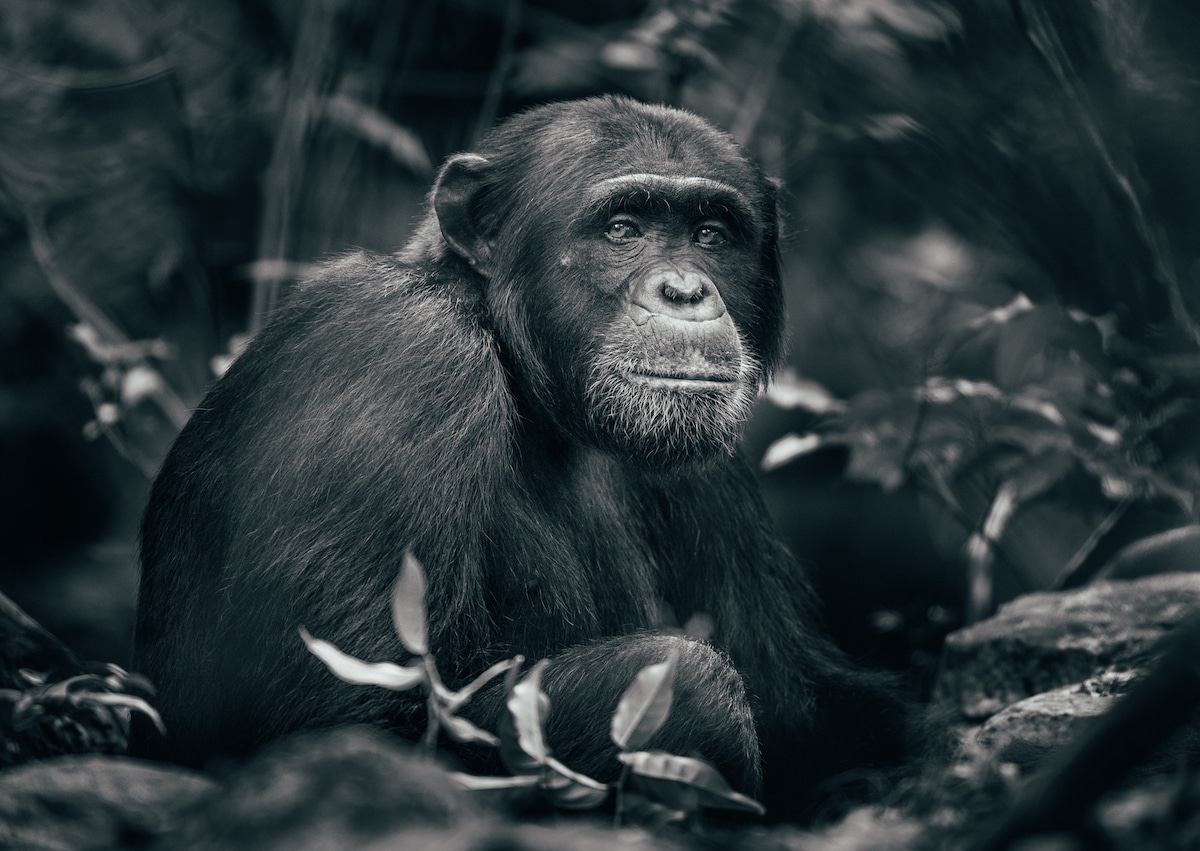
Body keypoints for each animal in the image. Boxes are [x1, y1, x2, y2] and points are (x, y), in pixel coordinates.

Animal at [133, 94, 907, 816]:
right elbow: (347, 725)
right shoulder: (399, 349)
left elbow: (809, 703)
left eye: (711, 233)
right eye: (622, 229)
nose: (686, 289)